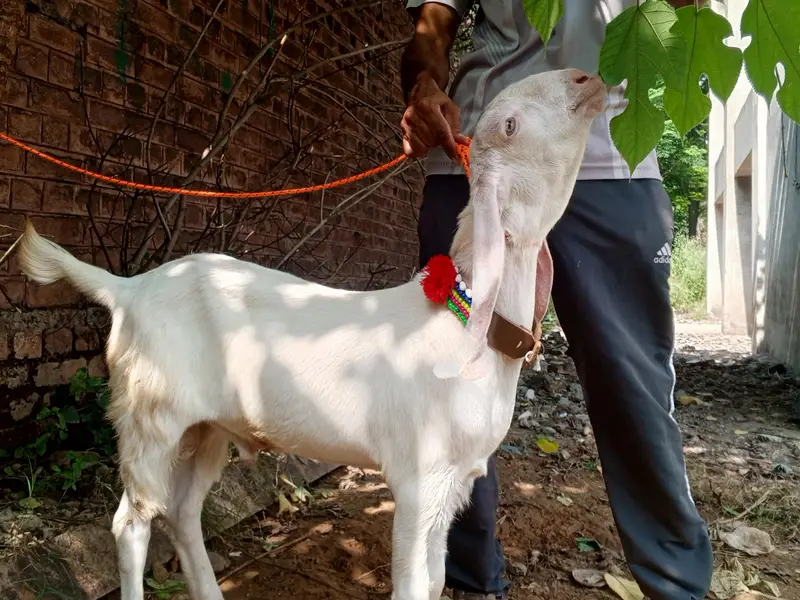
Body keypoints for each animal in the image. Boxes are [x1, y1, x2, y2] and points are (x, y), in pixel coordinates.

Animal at [16, 68, 606, 600]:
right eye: (510, 124)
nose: (589, 80)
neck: (465, 328)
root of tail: (129, 289)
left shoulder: (454, 478)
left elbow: (437, 580)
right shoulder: (419, 474)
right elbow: (414, 584)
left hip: (204, 425)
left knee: (182, 511)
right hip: (149, 409)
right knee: (133, 521)